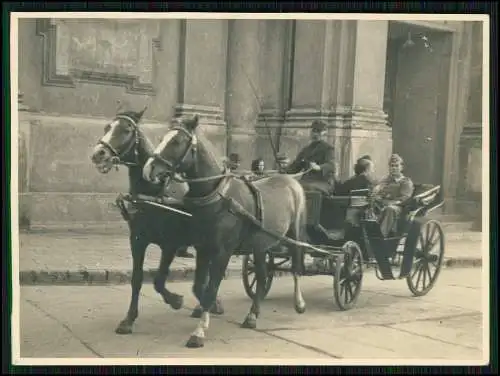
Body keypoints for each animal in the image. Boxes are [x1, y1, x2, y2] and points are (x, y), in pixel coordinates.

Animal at [89, 107, 223, 334]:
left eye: (126, 130)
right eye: (107, 127)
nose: (99, 154)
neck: (154, 192)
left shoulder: (170, 244)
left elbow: (159, 280)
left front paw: (176, 300)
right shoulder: (137, 240)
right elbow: (137, 278)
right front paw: (129, 319)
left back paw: (210, 304)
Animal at [142, 115, 308, 350]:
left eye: (176, 141)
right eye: (162, 138)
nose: (148, 169)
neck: (216, 196)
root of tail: (290, 179)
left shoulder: (223, 252)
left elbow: (210, 288)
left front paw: (199, 332)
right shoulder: (203, 248)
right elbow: (199, 287)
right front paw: (205, 309)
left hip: (295, 235)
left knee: (296, 267)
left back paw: (299, 303)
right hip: (260, 245)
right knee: (262, 276)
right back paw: (252, 315)